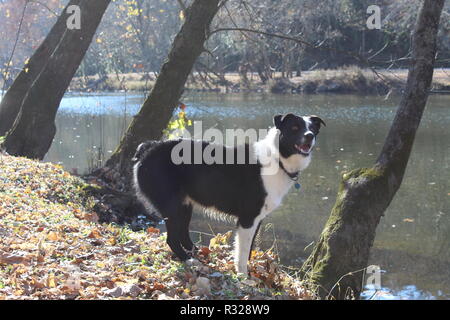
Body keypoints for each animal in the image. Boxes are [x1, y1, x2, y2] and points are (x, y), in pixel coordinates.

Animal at [132, 114, 326, 274]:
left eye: (313, 129)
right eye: (294, 128)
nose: (309, 135)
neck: (277, 159)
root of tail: (149, 146)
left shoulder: (257, 219)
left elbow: (248, 249)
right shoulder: (248, 219)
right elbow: (242, 252)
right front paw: (243, 276)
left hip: (184, 205)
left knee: (183, 234)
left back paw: (198, 255)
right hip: (171, 205)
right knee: (172, 238)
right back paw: (189, 260)